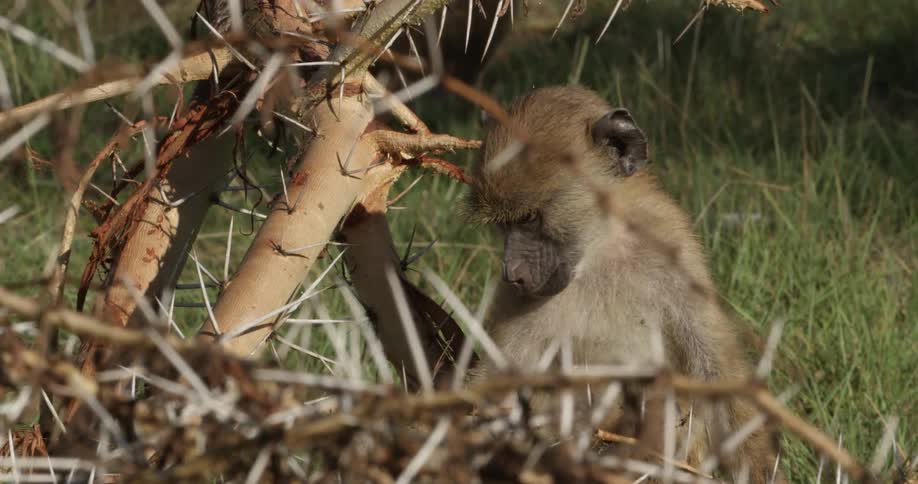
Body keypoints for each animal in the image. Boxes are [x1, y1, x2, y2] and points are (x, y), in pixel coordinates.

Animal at [464, 85, 785, 484]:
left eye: (529, 218)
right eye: (504, 225)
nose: (512, 272)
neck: (601, 249)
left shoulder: (674, 250)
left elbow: (714, 370)